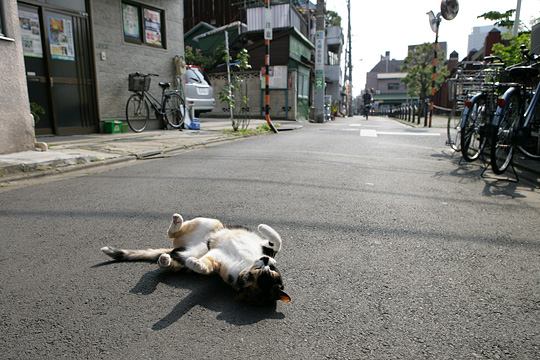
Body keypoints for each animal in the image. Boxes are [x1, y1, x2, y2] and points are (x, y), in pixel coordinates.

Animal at [99, 212, 288, 306]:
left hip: (182, 259)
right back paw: (177, 221)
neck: (246, 263)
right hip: (210, 222)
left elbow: (206, 265)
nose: (266, 263)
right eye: (270, 271)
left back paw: (165, 259)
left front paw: (197, 264)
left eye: (255, 277)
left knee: (172, 256)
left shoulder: (218, 259)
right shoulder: (267, 248)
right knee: (174, 233)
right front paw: (263, 228)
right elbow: (277, 241)